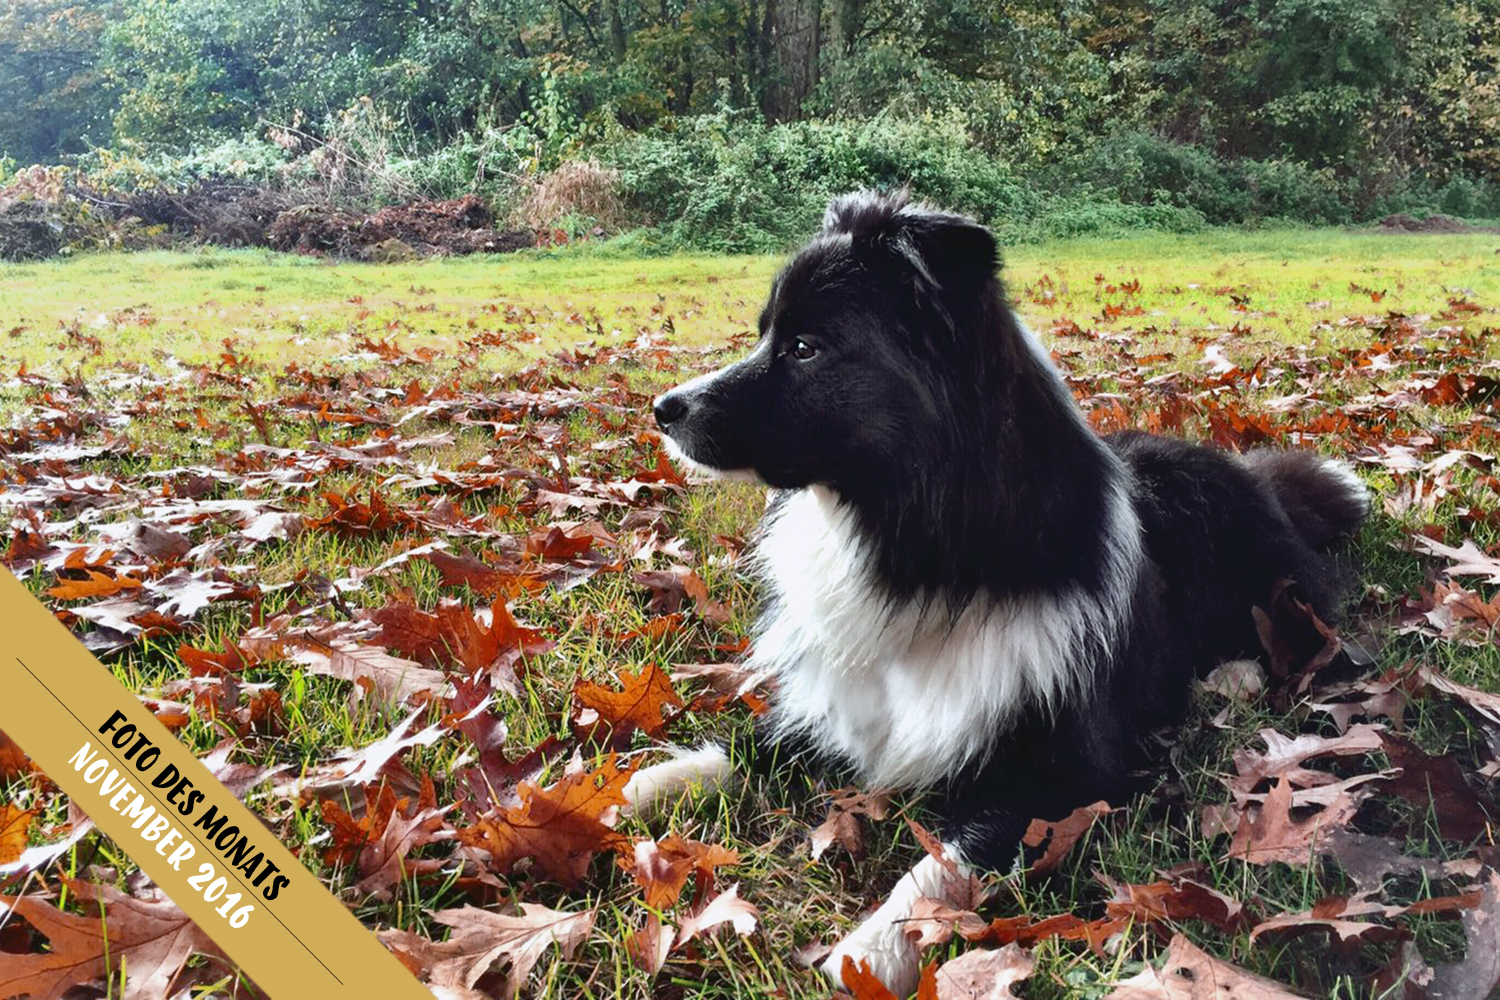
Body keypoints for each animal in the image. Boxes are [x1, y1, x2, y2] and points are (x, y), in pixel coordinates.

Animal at [627, 189, 1368, 995]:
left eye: (804, 348)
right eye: (766, 335)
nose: (664, 408)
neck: (917, 540)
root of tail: (1255, 474)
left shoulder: (1061, 775)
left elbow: (948, 860)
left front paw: (874, 947)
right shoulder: (834, 703)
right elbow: (742, 746)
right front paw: (624, 790)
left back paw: (1235, 673)